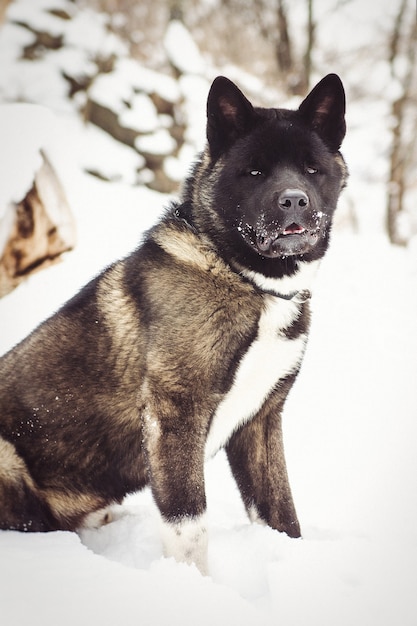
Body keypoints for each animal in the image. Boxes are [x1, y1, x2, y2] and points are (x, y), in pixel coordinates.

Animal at [0, 72, 344, 572]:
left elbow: (282, 515)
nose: (294, 201)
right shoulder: (176, 414)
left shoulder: (260, 421)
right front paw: (191, 585)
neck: (246, 278)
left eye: (311, 169)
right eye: (254, 172)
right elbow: (189, 525)